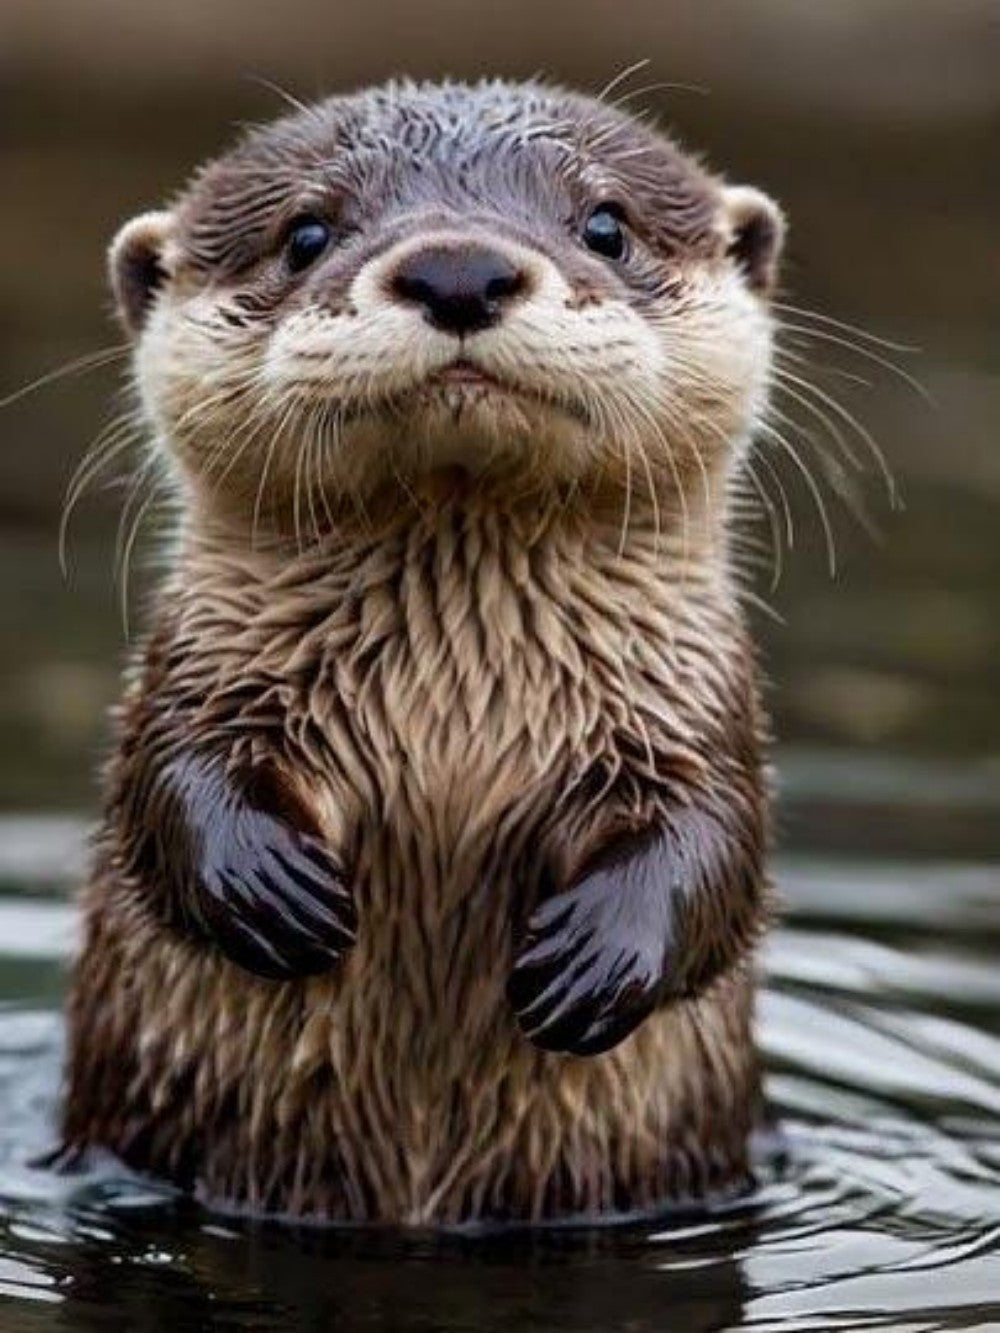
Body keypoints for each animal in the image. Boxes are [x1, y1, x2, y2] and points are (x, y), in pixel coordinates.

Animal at [62, 78, 783, 1224]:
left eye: (606, 226)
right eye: (305, 233)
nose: (458, 269)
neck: (458, 712)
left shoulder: (694, 708)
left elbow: (716, 845)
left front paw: (594, 958)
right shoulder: (200, 670)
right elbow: (164, 786)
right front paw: (272, 888)